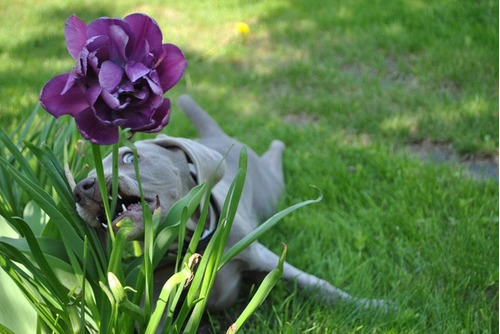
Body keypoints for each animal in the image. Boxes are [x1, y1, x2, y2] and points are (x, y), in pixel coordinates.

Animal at [72, 94, 384, 314]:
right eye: (81, 180)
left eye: (128, 158)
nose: (81, 188)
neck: (193, 243)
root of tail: (216, 135)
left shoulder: (264, 257)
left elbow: (320, 285)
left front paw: (375, 307)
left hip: (270, 192)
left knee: (276, 154)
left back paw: (280, 144)